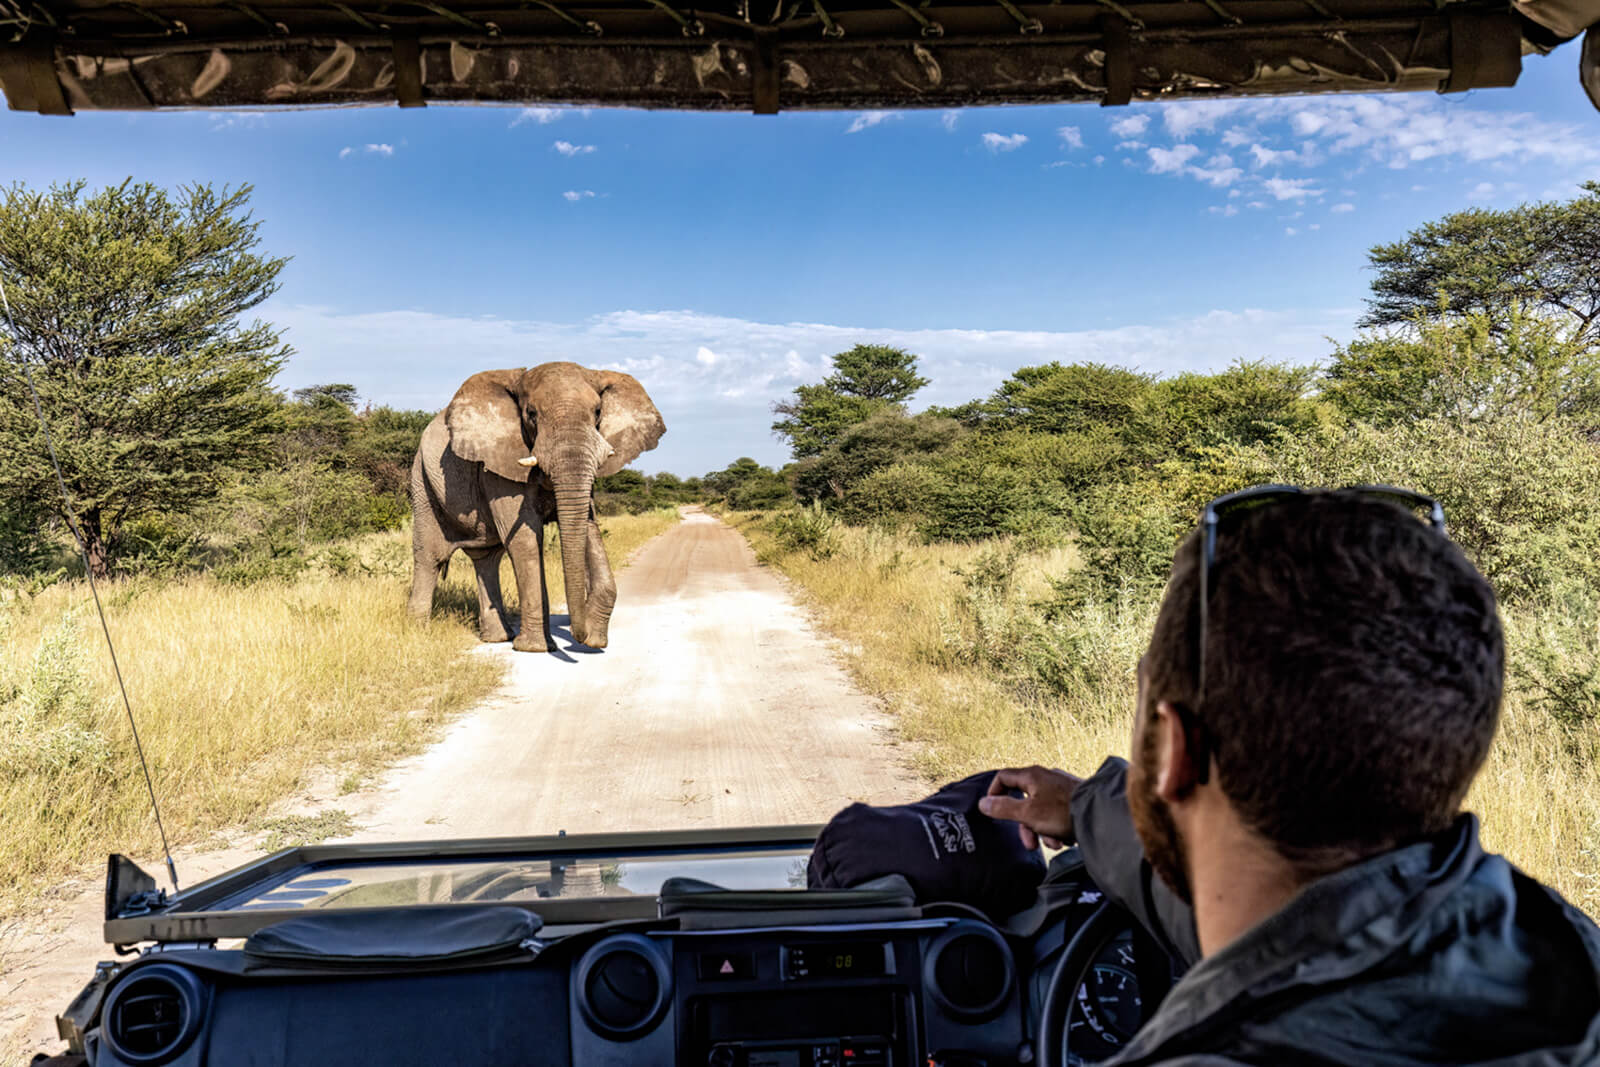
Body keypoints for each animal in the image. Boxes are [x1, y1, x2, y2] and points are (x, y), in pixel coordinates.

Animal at [407, 362, 665, 652]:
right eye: (531, 414)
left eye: (598, 412)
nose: (580, 637)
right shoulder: (498, 466)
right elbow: (526, 540)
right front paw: (536, 648)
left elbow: (588, 526)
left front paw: (596, 639)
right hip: (422, 478)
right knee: (430, 556)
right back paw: (418, 631)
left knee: (486, 558)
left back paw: (498, 638)